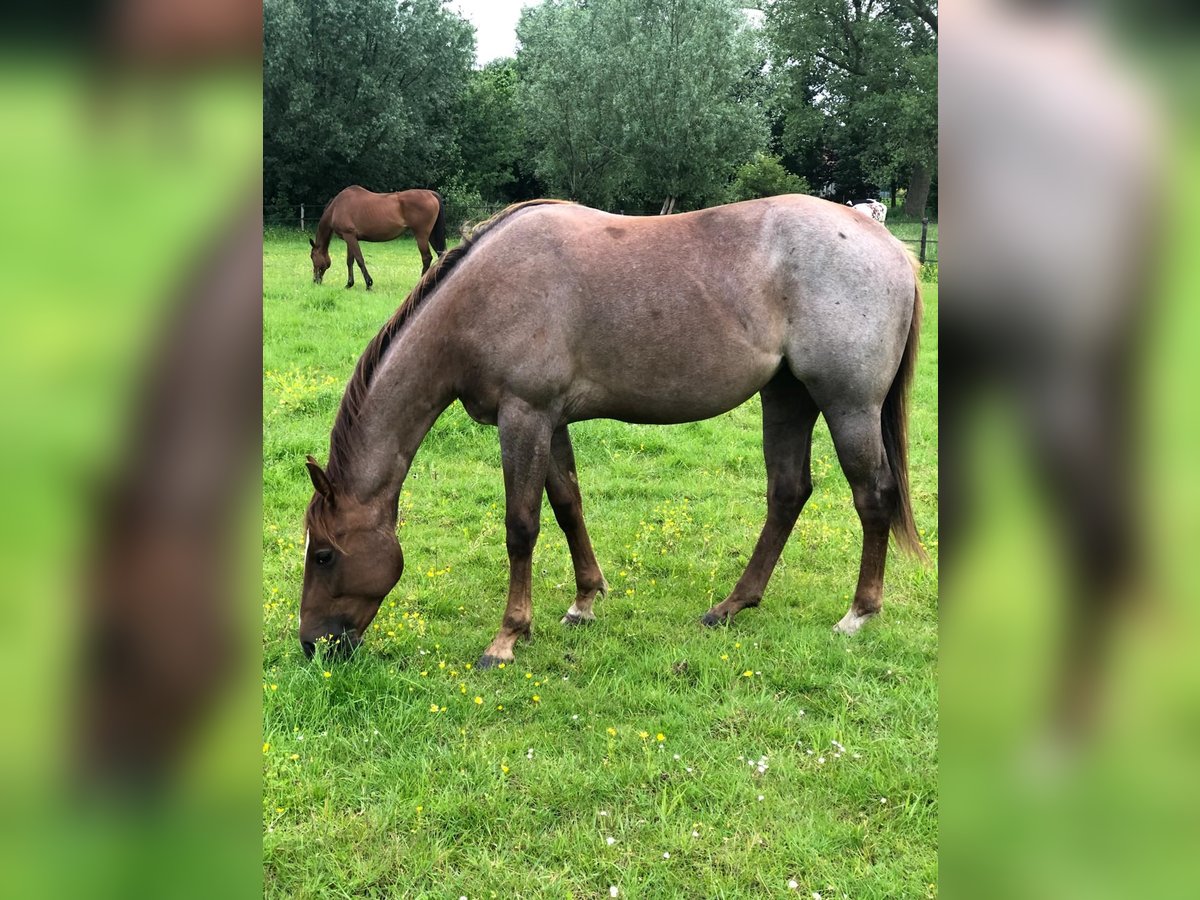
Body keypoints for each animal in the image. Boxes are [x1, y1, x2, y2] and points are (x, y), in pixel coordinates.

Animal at [309, 187, 446, 289]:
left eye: (312, 256)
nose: (315, 280)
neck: (336, 208)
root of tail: (430, 193)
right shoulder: (349, 238)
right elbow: (350, 261)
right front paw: (349, 284)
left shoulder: (350, 237)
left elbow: (359, 260)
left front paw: (368, 284)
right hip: (431, 235)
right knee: (441, 254)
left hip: (421, 235)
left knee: (427, 258)